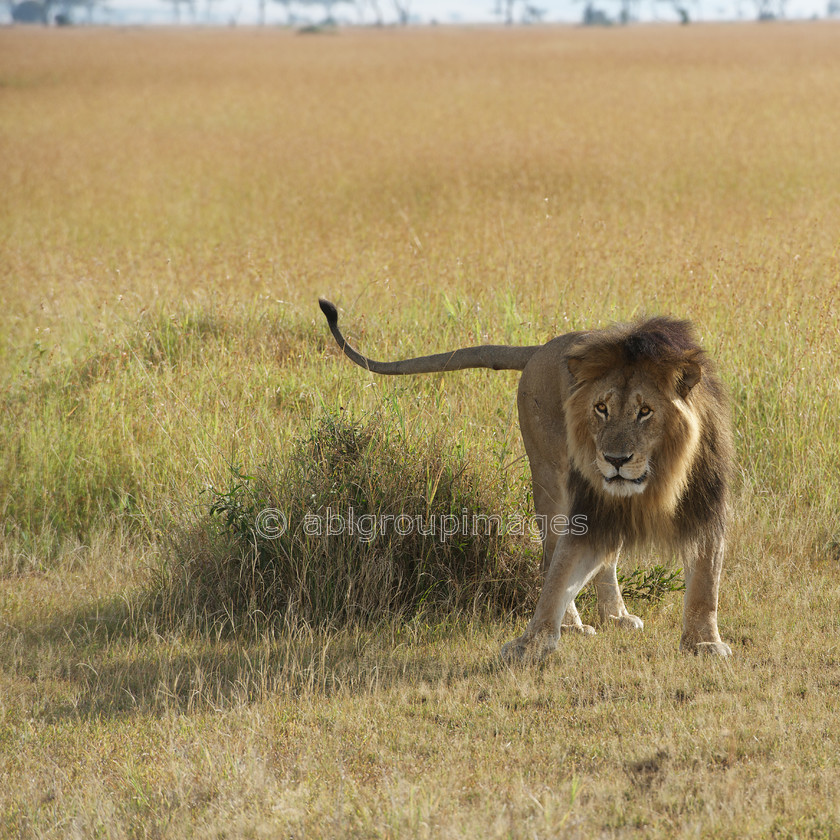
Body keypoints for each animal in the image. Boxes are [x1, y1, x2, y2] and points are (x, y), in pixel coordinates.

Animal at [318, 298, 732, 660]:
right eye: (601, 408)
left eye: (645, 411)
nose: (615, 460)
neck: (661, 474)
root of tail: (544, 347)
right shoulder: (587, 504)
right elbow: (561, 573)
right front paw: (531, 643)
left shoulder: (707, 504)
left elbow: (706, 582)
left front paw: (703, 643)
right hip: (551, 478)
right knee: (552, 553)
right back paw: (573, 624)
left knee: (605, 559)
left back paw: (616, 616)